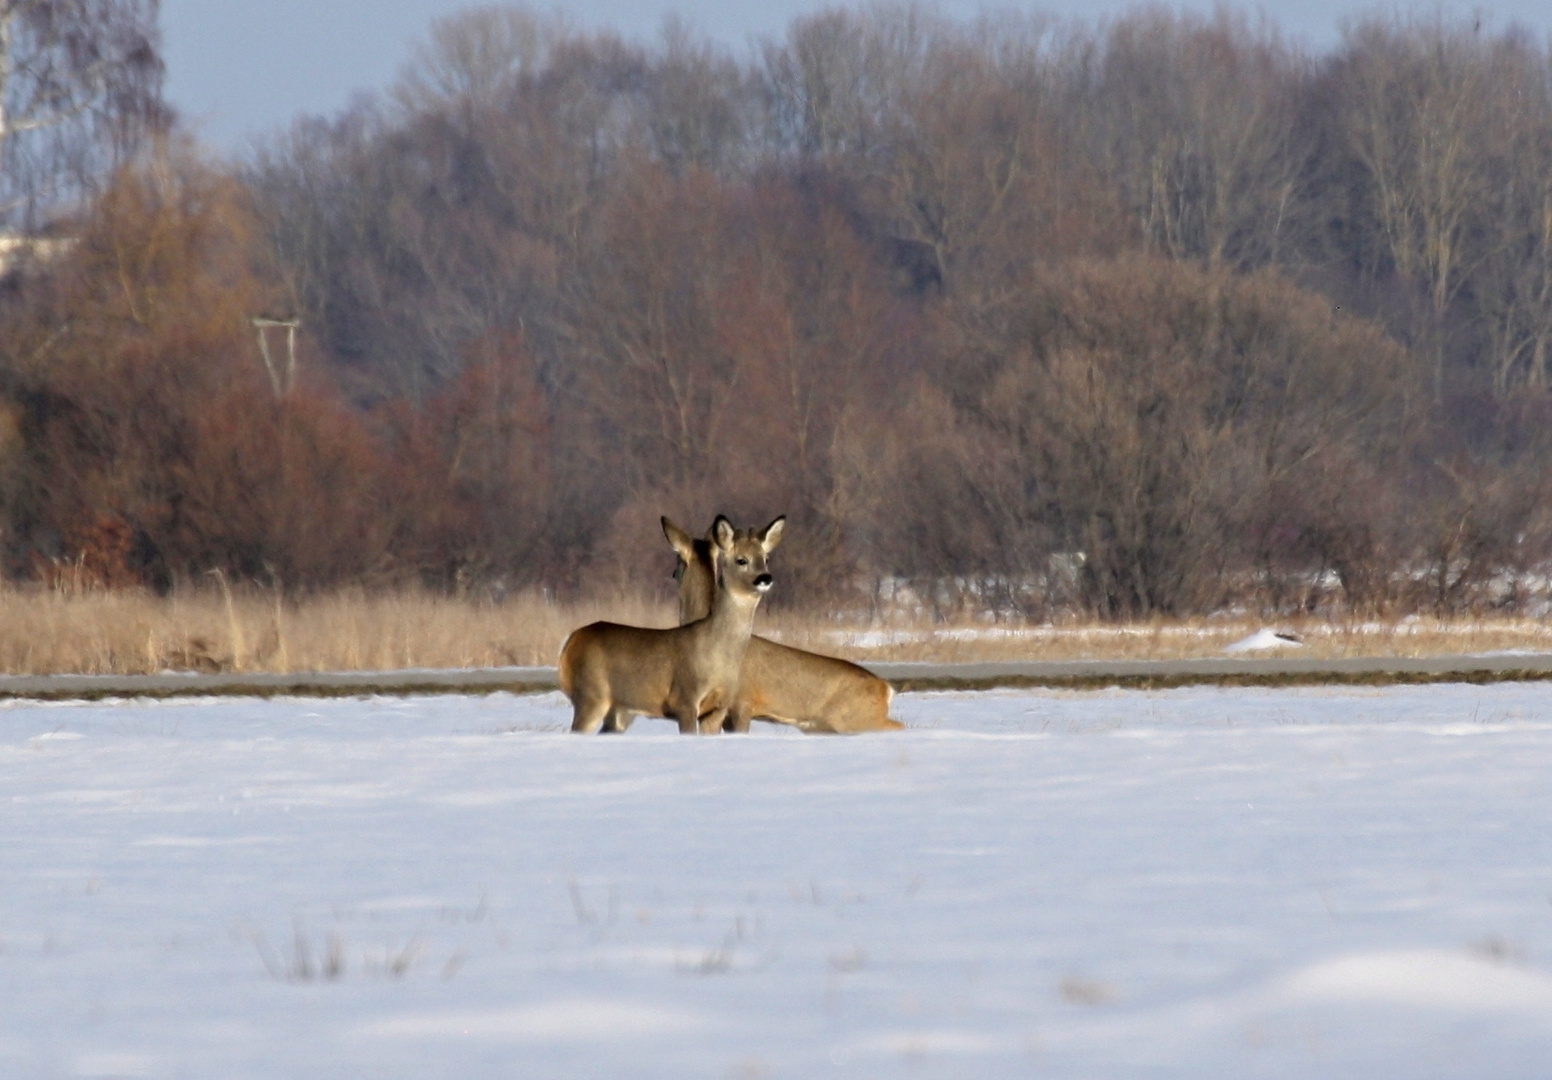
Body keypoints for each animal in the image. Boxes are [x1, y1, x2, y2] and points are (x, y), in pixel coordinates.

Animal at [558, 515, 782, 735]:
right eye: (741, 560)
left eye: (766, 559)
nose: (765, 578)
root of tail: (570, 642)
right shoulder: (685, 699)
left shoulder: (718, 707)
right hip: (590, 695)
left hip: (616, 709)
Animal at [661, 515, 906, 735]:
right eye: (742, 559)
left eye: (677, 564)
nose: (672, 573)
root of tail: (887, 689)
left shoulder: (743, 702)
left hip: (856, 719)